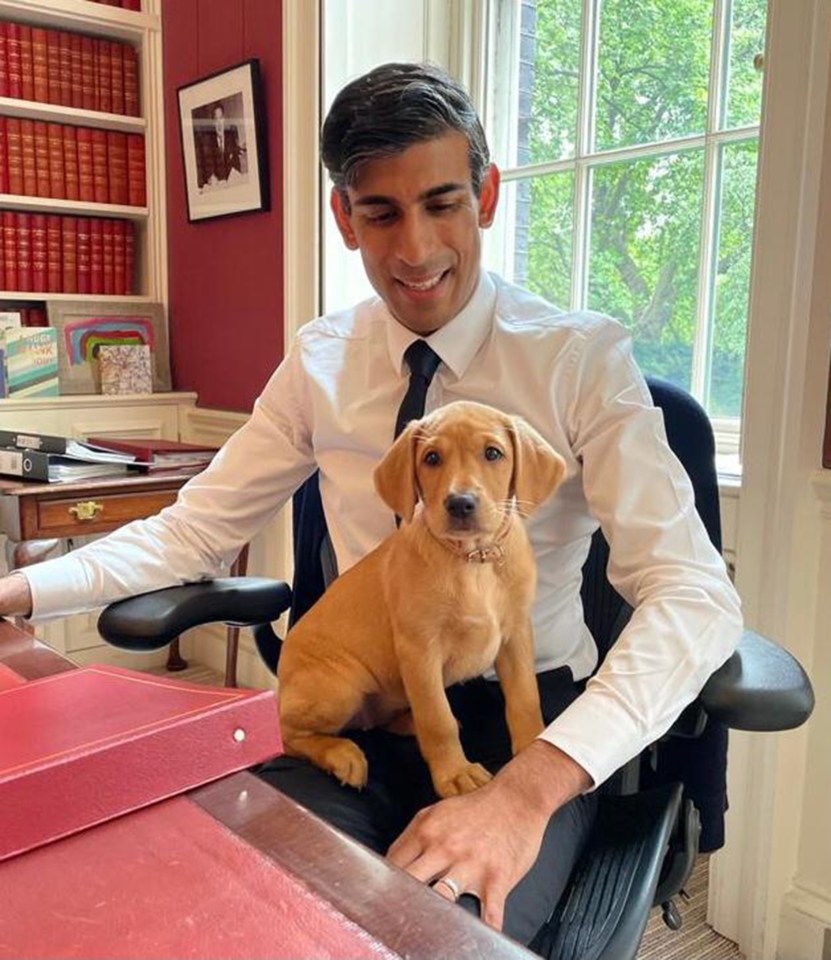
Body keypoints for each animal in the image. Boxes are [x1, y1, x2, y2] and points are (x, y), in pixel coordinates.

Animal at [278, 398, 564, 796]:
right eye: (431, 458)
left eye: (493, 453)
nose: (460, 503)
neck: (473, 560)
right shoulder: (419, 650)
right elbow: (436, 717)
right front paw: (455, 773)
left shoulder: (516, 635)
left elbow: (525, 697)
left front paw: (531, 749)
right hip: (339, 685)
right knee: (290, 736)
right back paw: (341, 754)